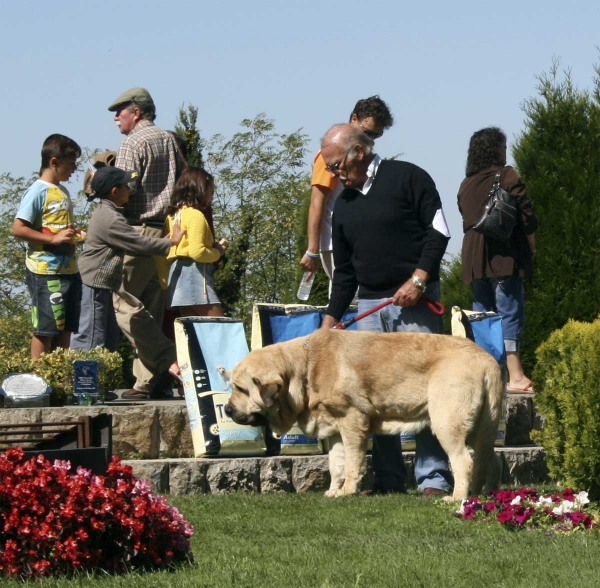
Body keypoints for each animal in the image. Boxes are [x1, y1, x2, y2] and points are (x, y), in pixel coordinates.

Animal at [225, 328, 502, 498]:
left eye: (241, 389)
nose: (227, 409)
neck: (304, 368)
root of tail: (487, 359)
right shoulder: (334, 430)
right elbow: (336, 464)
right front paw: (334, 491)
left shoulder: (352, 420)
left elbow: (351, 462)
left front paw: (348, 491)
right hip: (480, 428)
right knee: (487, 460)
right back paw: (483, 494)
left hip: (446, 422)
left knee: (464, 461)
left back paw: (457, 498)